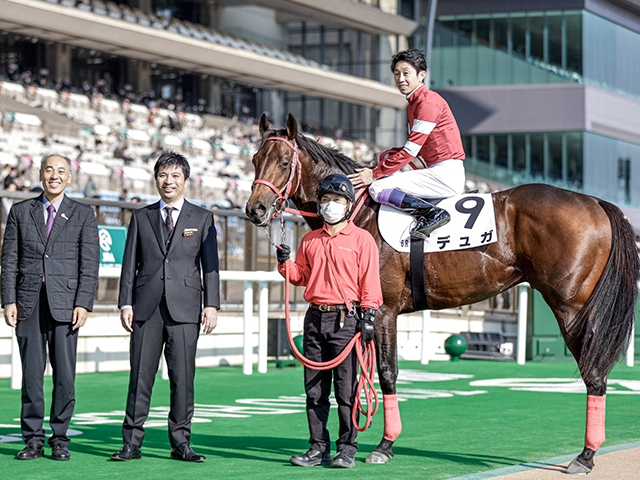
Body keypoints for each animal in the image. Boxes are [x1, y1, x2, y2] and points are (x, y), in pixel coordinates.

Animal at [245, 113, 640, 476]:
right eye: (254, 159)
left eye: (284, 163)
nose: (255, 209)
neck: (357, 213)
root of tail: (596, 203)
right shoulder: (362, 314)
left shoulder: (383, 310)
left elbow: (386, 374)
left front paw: (384, 446)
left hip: (571, 307)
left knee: (593, 371)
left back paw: (586, 456)